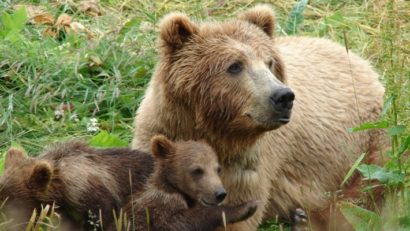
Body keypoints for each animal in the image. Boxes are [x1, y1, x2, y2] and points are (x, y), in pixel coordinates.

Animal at [131, 4, 384, 230]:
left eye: (269, 62)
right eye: (234, 66)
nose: (283, 96)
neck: (213, 130)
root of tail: (358, 58)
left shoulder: (247, 168)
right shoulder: (161, 133)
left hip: (367, 141)